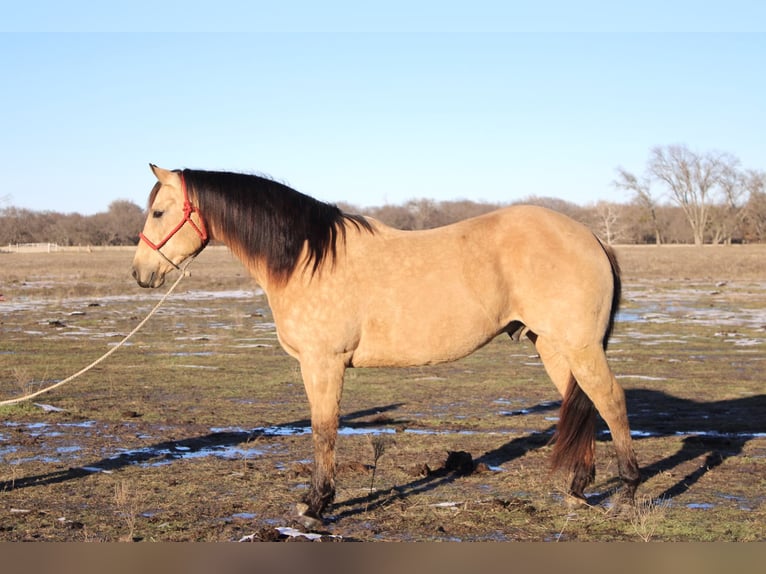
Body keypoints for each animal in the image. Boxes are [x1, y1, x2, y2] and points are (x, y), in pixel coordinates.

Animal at [132, 165, 640, 528]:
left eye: (158, 213)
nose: (140, 274)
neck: (307, 258)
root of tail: (592, 237)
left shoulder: (323, 364)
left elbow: (323, 430)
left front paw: (315, 505)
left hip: (580, 346)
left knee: (611, 401)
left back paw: (629, 492)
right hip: (554, 347)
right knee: (585, 403)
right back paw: (578, 489)